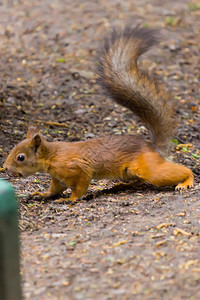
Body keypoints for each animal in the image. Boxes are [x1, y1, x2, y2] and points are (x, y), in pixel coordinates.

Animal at [3, 25, 194, 202]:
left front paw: (70, 199)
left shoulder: (77, 169)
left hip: (150, 168)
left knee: (175, 171)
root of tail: (152, 147)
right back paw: (121, 186)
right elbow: (55, 190)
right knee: (139, 181)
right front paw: (42, 194)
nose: (4, 168)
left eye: (21, 157)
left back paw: (187, 181)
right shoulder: (58, 178)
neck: (51, 156)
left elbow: (80, 186)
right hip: (130, 172)